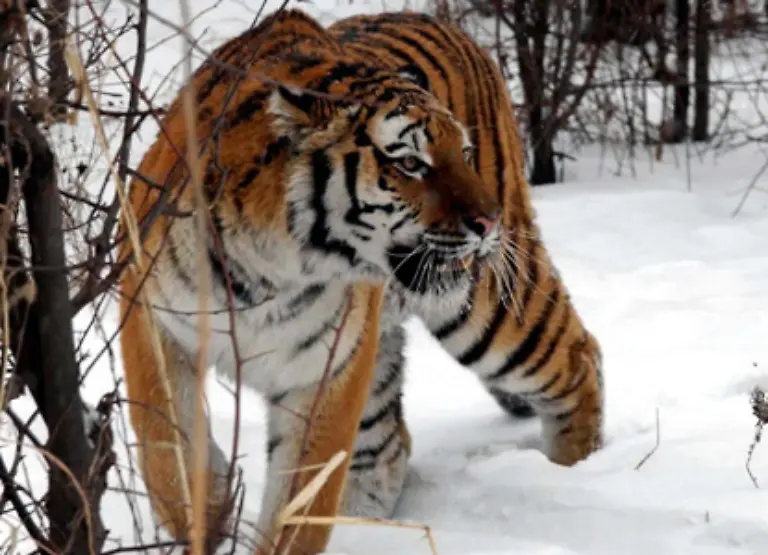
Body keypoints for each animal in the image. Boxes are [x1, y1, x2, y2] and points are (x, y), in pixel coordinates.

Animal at [117, 7, 604, 555]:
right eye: (410, 162)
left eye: (463, 152)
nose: (488, 222)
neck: (270, 268)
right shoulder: (150, 316)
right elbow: (165, 445)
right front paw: (208, 512)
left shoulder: (327, 368)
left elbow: (302, 502)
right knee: (390, 447)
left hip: (490, 307)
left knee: (578, 356)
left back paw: (570, 473)